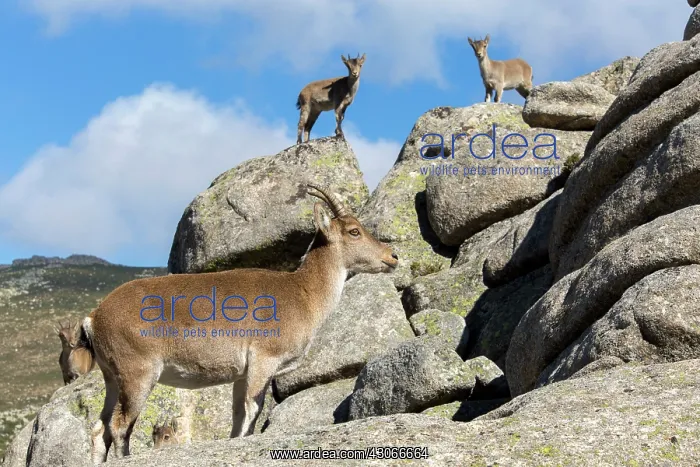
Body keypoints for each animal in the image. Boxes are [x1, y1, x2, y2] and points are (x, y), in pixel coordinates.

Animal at [74, 183, 399, 464]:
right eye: (354, 231)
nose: (392, 256)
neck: (302, 293)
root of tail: (94, 318)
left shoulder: (242, 373)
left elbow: (238, 417)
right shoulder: (263, 360)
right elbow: (253, 409)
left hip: (111, 376)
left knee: (98, 429)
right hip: (137, 373)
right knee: (119, 425)